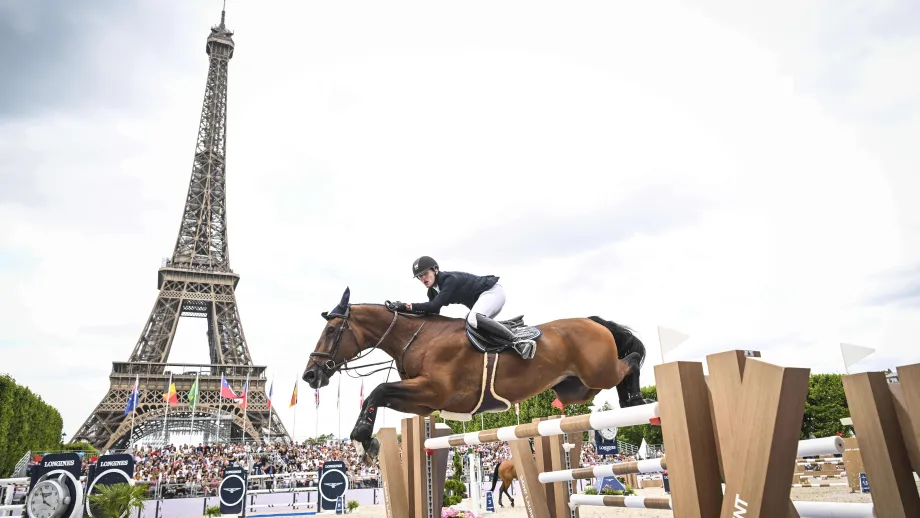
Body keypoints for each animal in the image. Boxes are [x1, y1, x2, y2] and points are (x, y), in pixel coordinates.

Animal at [302, 288, 648, 468]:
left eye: (331, 330)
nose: (310, 374)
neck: (419, 338)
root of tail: (593, 322)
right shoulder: (424, 404)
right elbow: (381, 393)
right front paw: (365, 441)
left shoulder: (433, 391)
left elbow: (377, 390)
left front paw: (364, 439)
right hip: (577, 388)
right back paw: (631, 401)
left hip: (598, 371)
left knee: (630, 361)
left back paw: (635, 400)